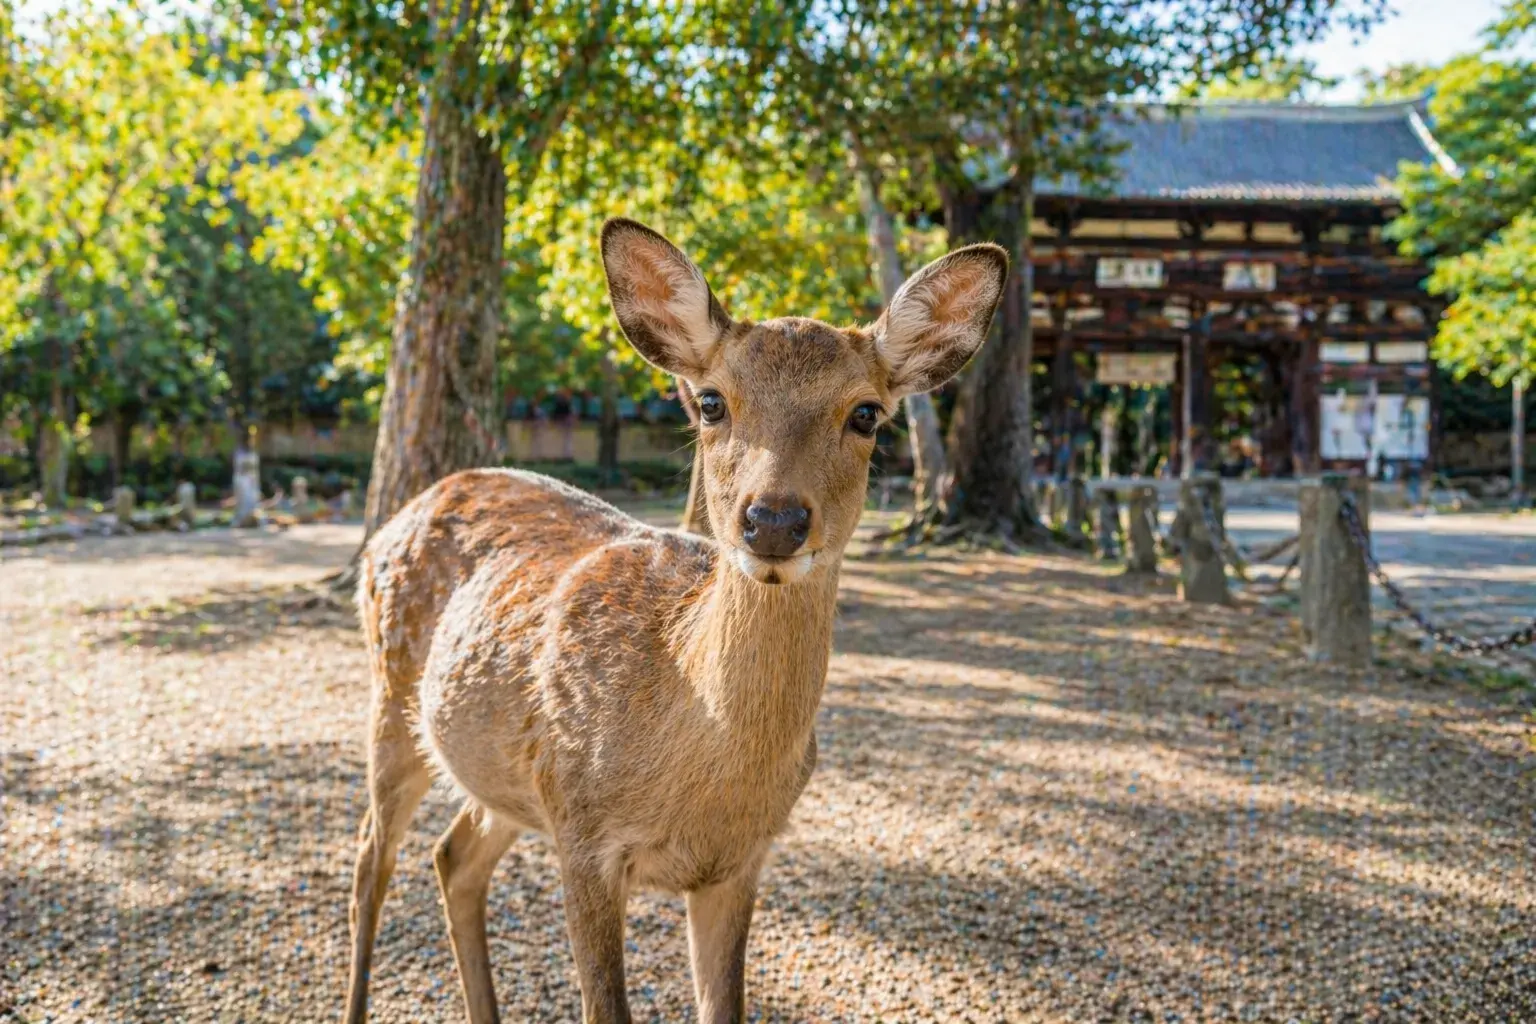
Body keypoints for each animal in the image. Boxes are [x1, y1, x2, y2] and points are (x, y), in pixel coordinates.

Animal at [342, 218, 1007, 1024]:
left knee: (453, 857)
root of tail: (404, 511)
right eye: (713, 402)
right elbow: (605, 1008)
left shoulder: (740, 861)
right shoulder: (585, 835)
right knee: (370, 861)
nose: (773, 520)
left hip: (506, 777)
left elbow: (726, 1006)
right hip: (392, 699)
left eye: (867, 413)